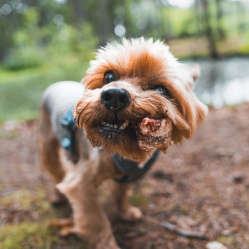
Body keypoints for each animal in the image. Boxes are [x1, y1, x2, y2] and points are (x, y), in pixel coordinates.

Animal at [38, 37, 207, 249]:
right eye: (109, 76)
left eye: (161, 89)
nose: (115, 95)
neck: (123, 151)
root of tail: (55, 84)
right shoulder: (82, 186)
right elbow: (97, 223)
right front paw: (108, 244)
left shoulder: (128, 175)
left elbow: (121, 193)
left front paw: (124, 212)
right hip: (47, 142)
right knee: (54, 169)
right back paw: (57, 194)